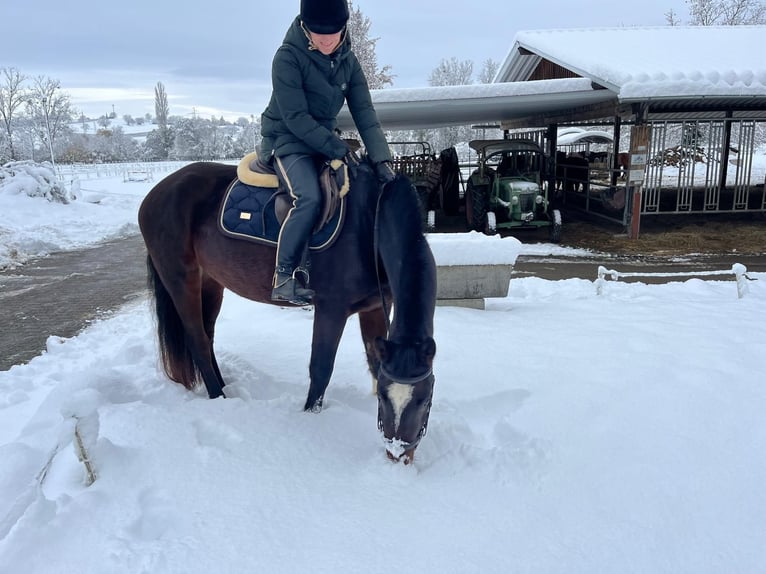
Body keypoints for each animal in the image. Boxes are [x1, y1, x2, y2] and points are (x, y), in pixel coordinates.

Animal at [138, 159, 438, 464]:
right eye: (385, 399)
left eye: (425, 398)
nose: (398, 454)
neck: (370, 223)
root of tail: (156, 193)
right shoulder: (331, 309)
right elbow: (321, 368)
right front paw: (309, 418)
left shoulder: (376, 307)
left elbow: (375, 364)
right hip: (180, 280)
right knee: (197, 340)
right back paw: (218, 397)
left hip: (210, 281)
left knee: (207, 336)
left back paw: (224, 387)